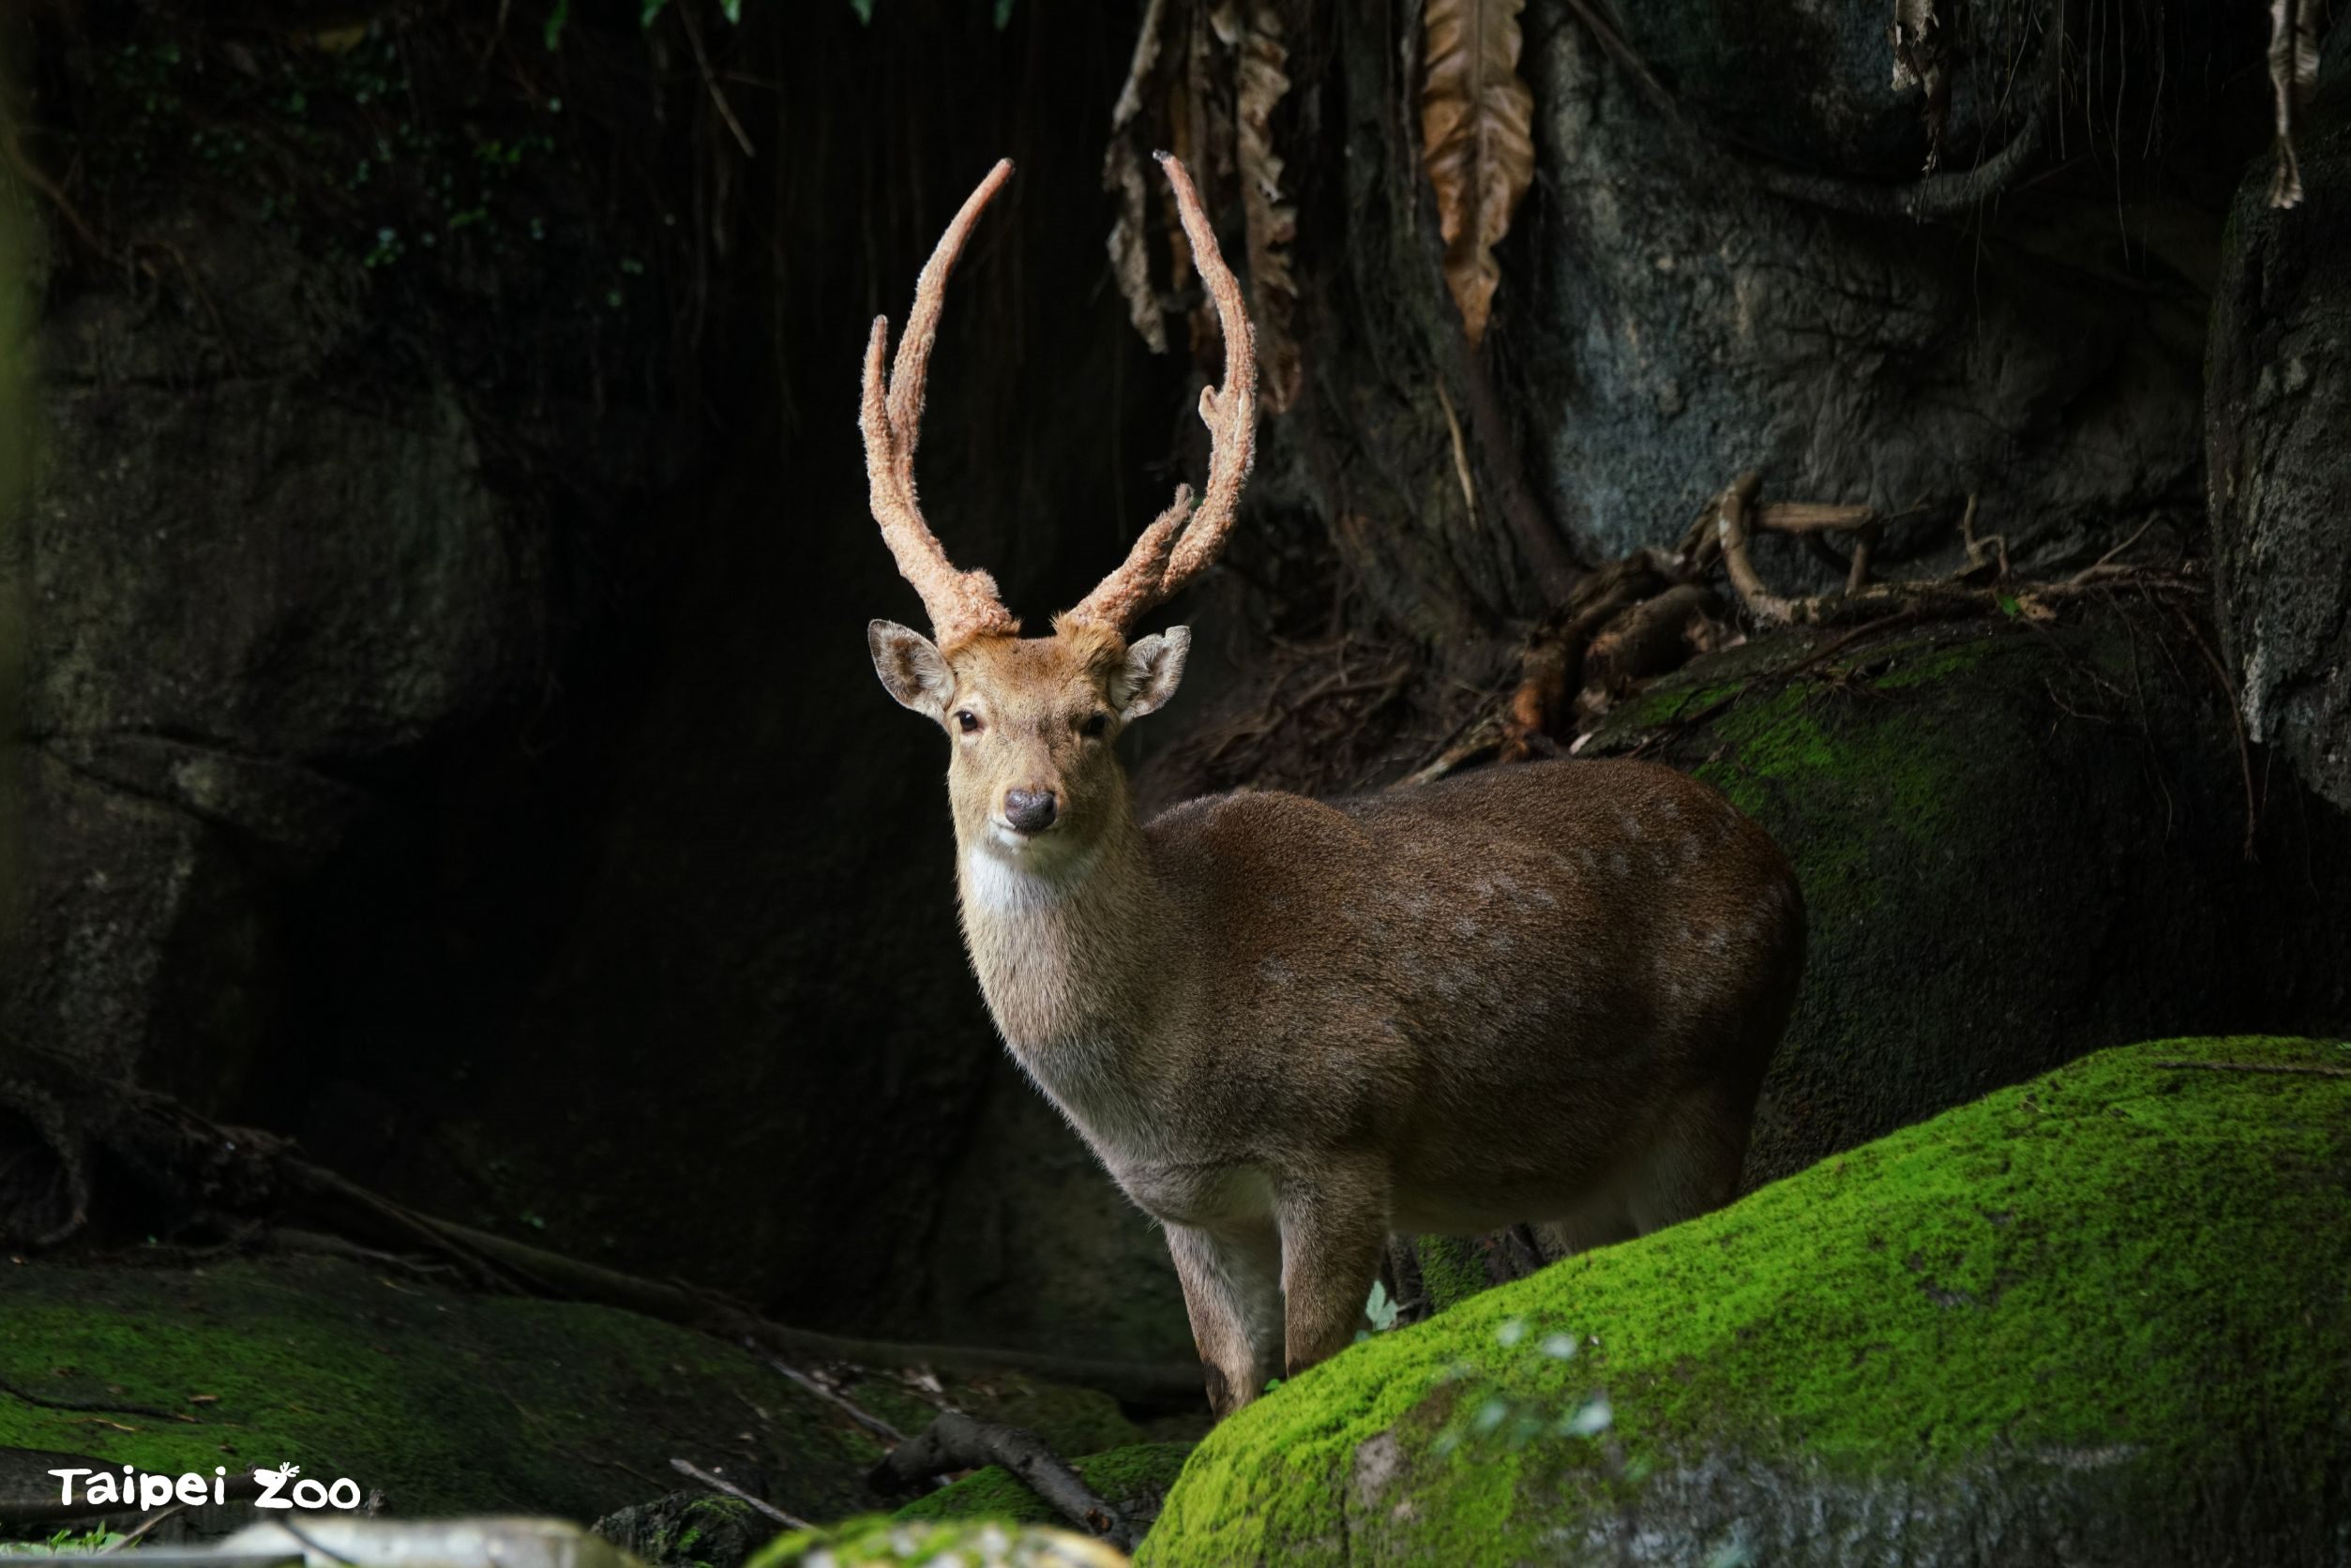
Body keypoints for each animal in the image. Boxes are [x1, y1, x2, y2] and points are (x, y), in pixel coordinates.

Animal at [860, 152, 1796, 1420]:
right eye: (967, 718)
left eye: (1095, 721)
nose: (1029, 804)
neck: (1165, 1066)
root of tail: (1780, 865)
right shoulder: (1189, 1209)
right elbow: (1231, 1393)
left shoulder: (1343, 1128)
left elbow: (1310, 1369)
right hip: (1584, 1168)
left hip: (1711, 1078)